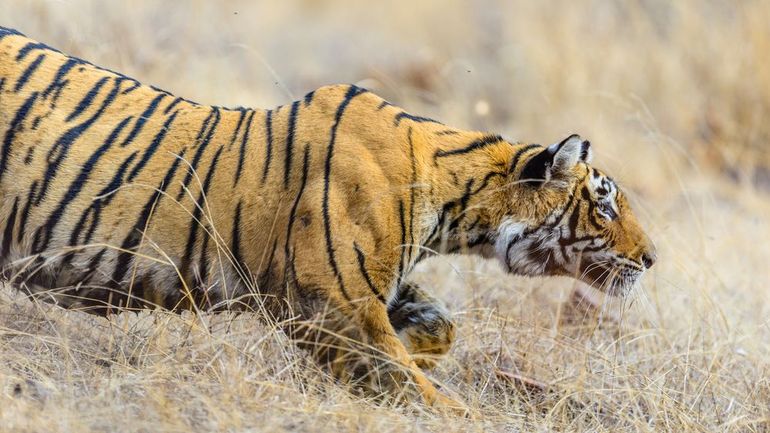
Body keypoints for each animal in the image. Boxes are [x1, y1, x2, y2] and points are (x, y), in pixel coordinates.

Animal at [0, 27, 656, 412]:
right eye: (604, 205)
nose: (652, 259)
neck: (455, 211)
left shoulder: (368, 288)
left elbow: (440, 326)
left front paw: (409, 351)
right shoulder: (334, 301)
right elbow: (423, 392)